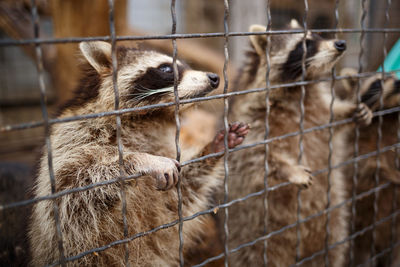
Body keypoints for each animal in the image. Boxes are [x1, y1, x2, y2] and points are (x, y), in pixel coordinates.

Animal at [28, 40, 248, 266]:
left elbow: (181, 192)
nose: (214, 78)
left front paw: (214, 147)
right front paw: (143, 160)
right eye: (166, 68)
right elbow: (73, 188)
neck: (151, 117)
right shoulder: (71, 139)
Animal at [222, 19, 372, 267]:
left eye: (318, 35)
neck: (299, 89)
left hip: (334, 227)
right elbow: (254, 157)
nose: (340, 43)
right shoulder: (252, 118)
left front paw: (352, 110)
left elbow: (334, 118)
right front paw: (288, 169)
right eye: (304, 45)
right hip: (252, 239)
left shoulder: (319, 111)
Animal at [340, 69, 400, 267]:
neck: (387, 116)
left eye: (396, 77)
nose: (398, 84)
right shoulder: (354, 144)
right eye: (378, 82)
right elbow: (364, 167)